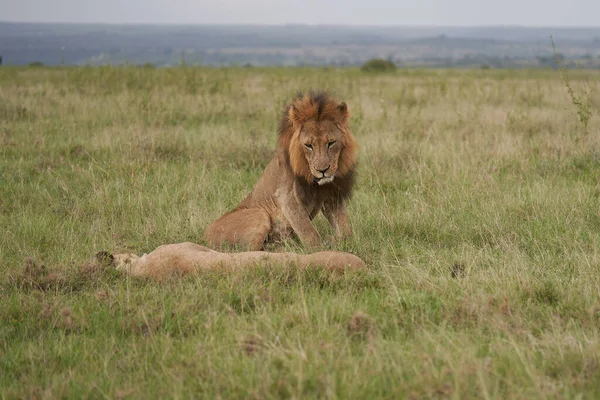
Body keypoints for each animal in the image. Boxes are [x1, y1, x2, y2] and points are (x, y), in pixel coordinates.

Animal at [204, 90, 358, 250]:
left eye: (331, 143)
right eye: (308, 145)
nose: (322, 170)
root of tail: (205, 235)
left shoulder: (330, 197)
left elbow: (346, 230)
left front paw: (340, 241)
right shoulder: (287, 197)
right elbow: (309, 233)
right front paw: (321, 247)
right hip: (260, 215)